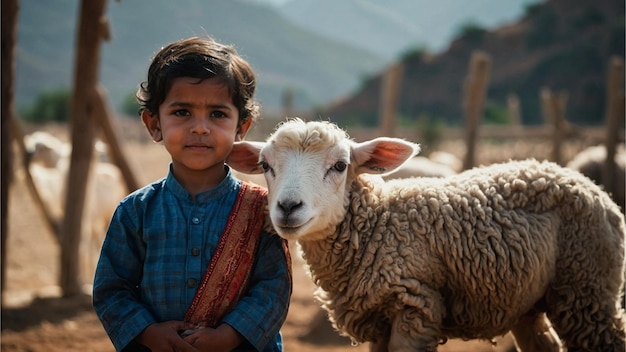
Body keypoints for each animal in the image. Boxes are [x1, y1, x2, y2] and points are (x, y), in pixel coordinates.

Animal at [23, 131, 126, 284]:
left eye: (40, 147)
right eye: (32, 144)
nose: (28, 156)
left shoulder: (89, 220)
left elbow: (85, 246)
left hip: (104, 217)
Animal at [228, 119, 624, 352]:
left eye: (340, 166)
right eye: (265, 166)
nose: (287, 207)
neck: (378, 226)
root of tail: (581, 180)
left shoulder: (416, 305)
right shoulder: (378, 321)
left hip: (587, 291)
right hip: (529, 302)